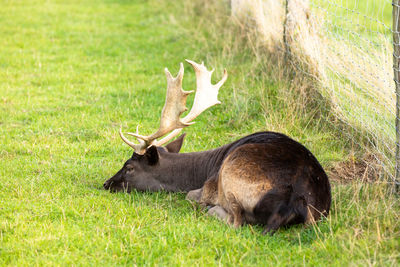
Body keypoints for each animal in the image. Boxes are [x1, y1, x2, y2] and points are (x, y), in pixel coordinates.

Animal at [103, 60, 332, 234]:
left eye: (129, 167)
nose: (106, 183)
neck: (203, 171)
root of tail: (294, 201)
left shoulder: (207, 187)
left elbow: (190, 194)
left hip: (232, 175)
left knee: (236, 221)